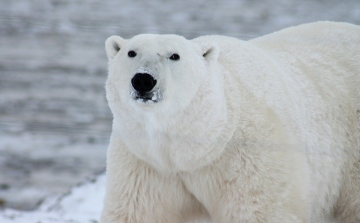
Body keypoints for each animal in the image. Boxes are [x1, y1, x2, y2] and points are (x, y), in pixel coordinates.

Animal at [99, 22, 360, 223]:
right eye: (131, 52)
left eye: (174, 55)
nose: (143, 80)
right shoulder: (146, 163)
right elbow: (137, 212)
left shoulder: (249, 155)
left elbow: (258, 211)